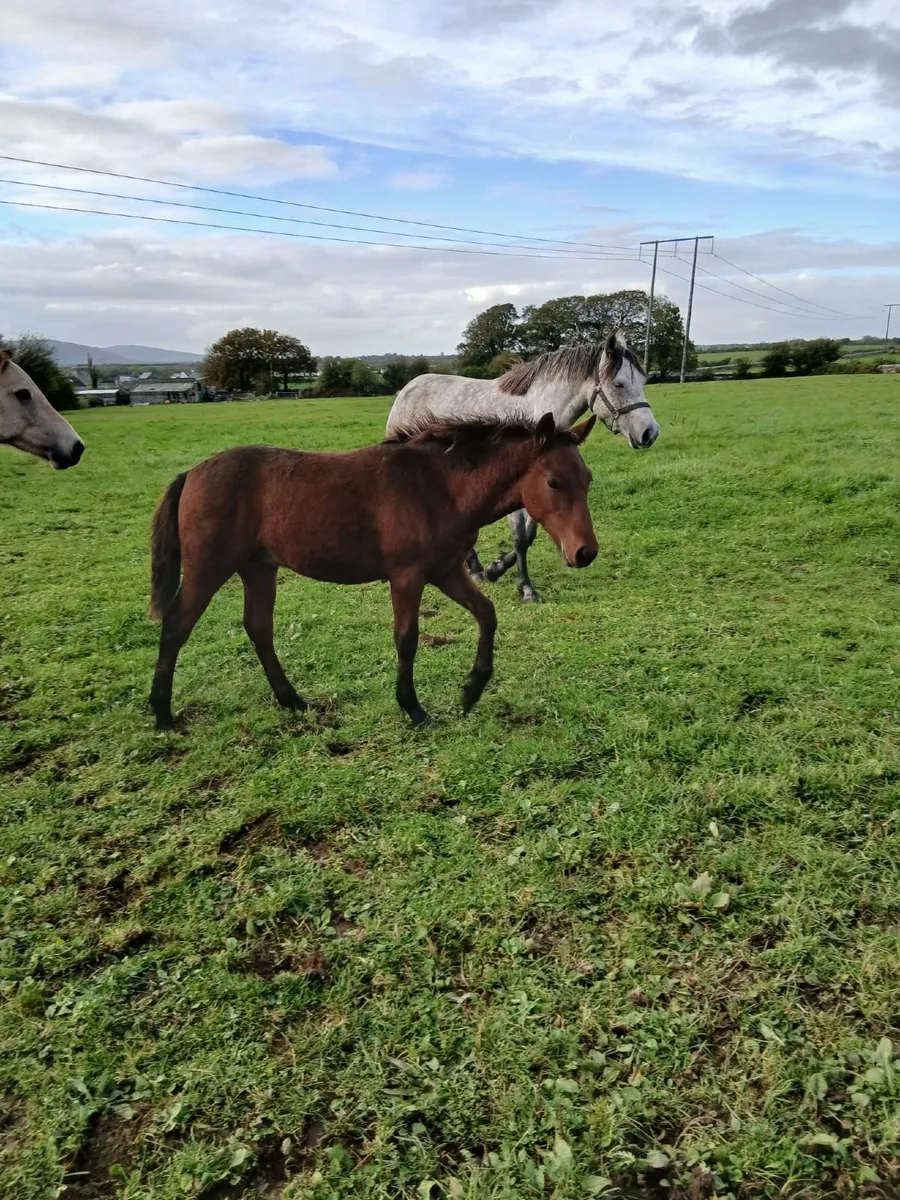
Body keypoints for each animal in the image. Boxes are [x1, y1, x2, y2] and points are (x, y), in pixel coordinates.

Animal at [148, 412, 597, 730]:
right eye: (554, 481)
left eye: (588, 478)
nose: (585, 552)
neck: (440, 487)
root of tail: (192, 473)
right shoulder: (407, 575)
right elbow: (407, 638)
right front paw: (414, 709)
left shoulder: (446, 571)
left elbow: (487, 614)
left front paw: (470, 692)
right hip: (209, 568)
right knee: (176, 625)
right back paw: (162, 713)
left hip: (259, 568)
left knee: (258, 628)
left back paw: (292, 701)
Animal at [385, 330, 658, 603]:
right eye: (619, 384)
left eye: (643, 381)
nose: (650, 433)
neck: (537, 412)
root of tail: (407, 389)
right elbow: (520, 538)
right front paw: (525, 587)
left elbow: (529, 535)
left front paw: (497, 569)